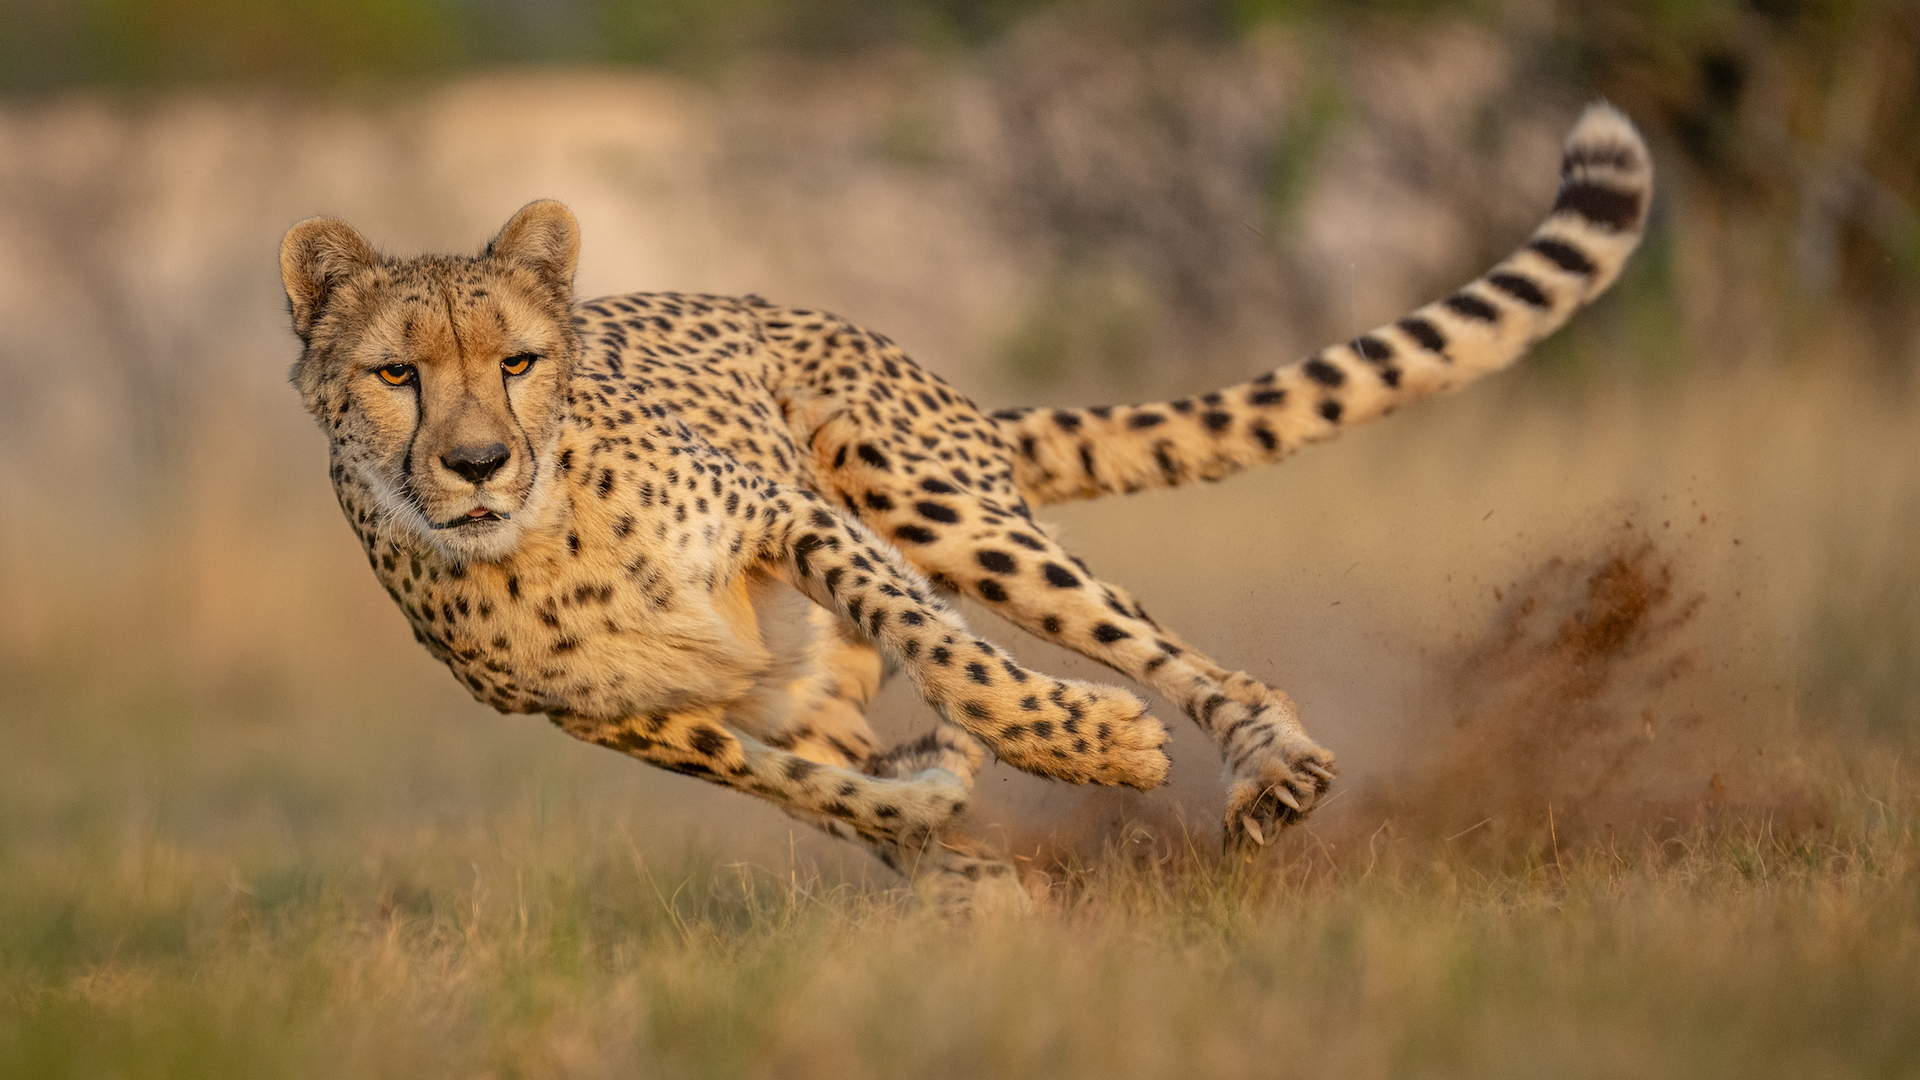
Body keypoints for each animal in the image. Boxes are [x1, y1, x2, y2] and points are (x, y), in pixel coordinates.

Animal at [280, 102, 1651, 907]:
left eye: (517, 361)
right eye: (398, 375)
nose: (476, 463)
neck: (542, 536)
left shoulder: (795, 518)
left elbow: (955, 658)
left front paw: (1082, 745)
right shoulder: (623, 721)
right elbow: (811, 789)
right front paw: (942, 827)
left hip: (926, 491)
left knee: (1165, 653)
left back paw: (1266, 764)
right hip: (811, 657)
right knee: (838, 744)